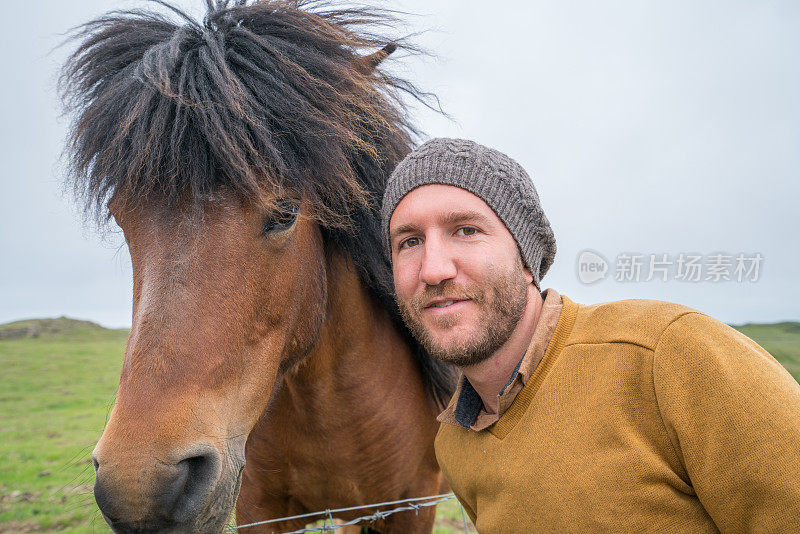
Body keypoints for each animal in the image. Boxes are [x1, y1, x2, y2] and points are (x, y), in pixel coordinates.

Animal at [60, 2, 456, 532]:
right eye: (122, 216)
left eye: (285, 212)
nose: (141, 488)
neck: (325, 410)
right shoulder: (257, 511)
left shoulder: (414, 504)